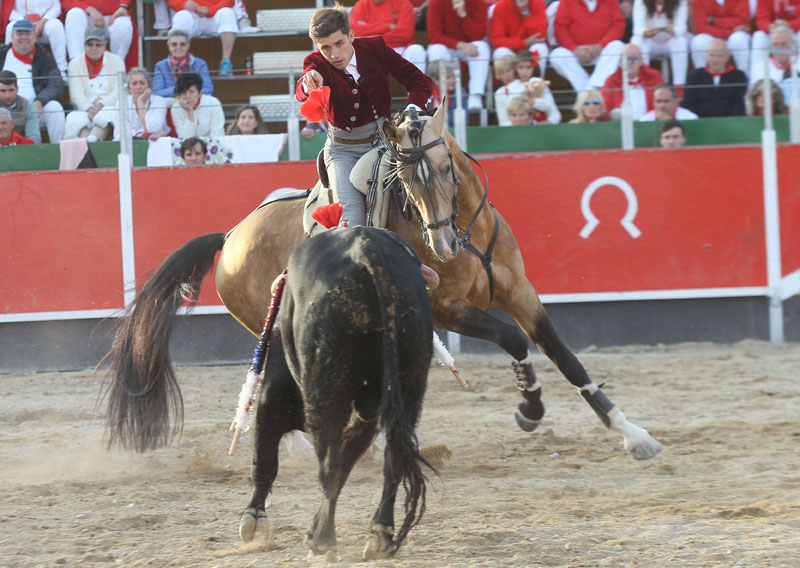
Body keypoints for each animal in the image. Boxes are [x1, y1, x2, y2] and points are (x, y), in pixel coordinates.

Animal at [103, 101, 662, 462]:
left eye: (445, 165)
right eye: (405, 179)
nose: (442, 245)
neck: (468, 233)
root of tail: (232, 234)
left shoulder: (521, 293)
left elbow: (565, 357)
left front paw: (631, 432)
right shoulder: (447, 308)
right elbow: (514, 339)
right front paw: (530, 408)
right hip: (279, 326)